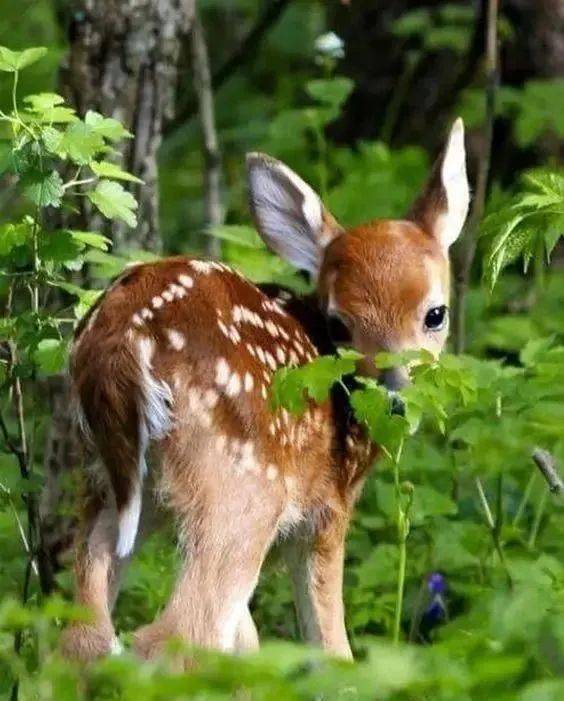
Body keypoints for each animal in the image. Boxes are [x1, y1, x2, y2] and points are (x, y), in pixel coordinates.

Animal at [60, 117, 472, 660]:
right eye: (339, 324)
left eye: (435, 314)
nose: (395, 399)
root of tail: (122, 341)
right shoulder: (325, 511)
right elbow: (328, 644)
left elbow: (246, 638)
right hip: (242, 484)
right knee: (176, 635)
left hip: (110, 480)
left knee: (84, 634)